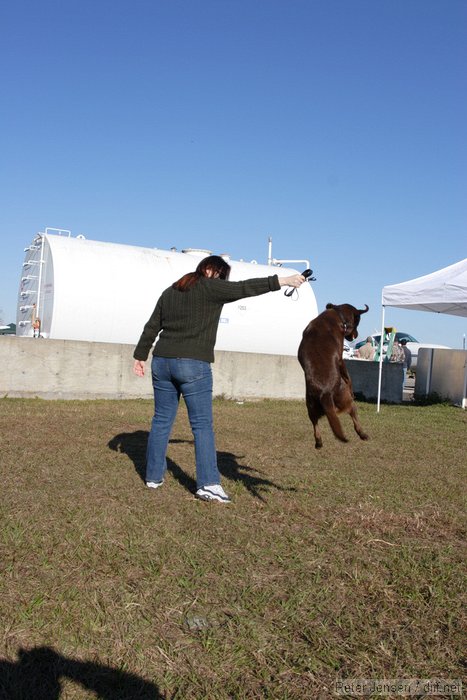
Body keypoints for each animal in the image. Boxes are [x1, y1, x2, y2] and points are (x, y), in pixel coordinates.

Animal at [302, 302, 372, 448]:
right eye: (357, 322)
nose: (357, 335)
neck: (336, 314)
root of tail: (325, 394)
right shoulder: (340, 359)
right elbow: (348, 377)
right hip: (348, 401)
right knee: (354, 417)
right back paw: (362, 434)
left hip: (310, 407)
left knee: (315, 424)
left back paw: (319, 442)